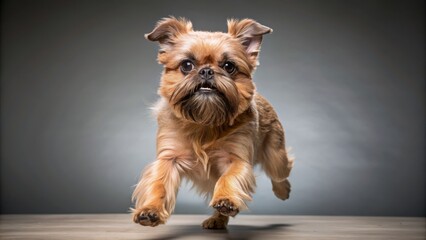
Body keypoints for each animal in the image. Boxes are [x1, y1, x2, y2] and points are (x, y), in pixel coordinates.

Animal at [131, 17, 294, 229]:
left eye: (228, 66)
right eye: (187, 65)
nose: (207, 71)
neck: (204, 122)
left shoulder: (236, 158)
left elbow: (229, 178)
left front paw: (227, 200)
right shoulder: (169, 158)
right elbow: (158, 183)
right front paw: (150, 209)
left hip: (275, 154)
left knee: (281, 171)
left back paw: (283, 190)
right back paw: (218, 218)